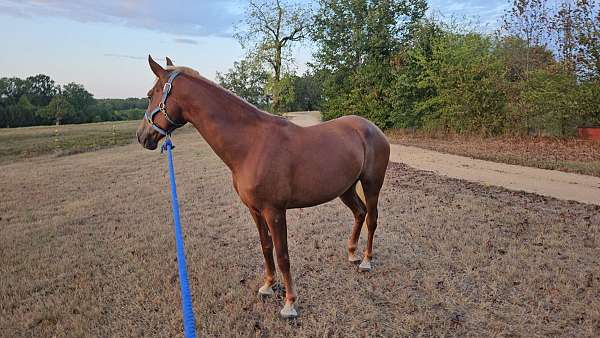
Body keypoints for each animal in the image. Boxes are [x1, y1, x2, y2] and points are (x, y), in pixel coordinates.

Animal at [139, 56, 394, 320]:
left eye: (149, 95)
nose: (142, 136)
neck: (252, 145)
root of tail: (372, 128)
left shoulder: (275, 212)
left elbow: (282, 255)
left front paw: (289, 304)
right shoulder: (255, 210)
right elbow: (266, 247)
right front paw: (268, 286)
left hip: (372, 184)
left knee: (372, 218)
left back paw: (366, 261)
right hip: (346, 189)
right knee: (360, 213)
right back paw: (352, 253)